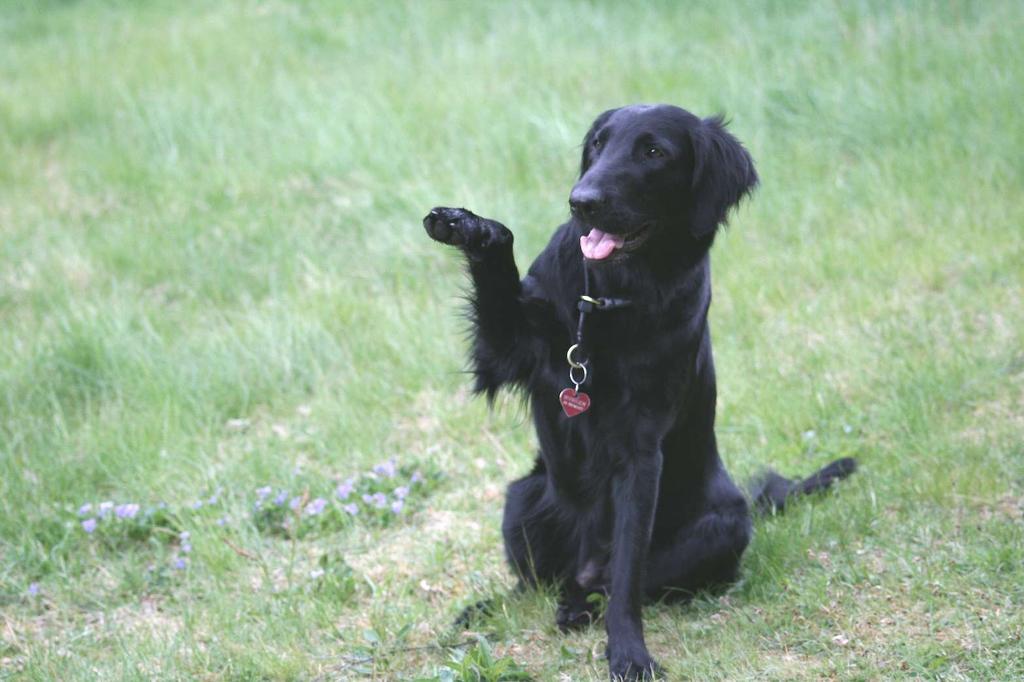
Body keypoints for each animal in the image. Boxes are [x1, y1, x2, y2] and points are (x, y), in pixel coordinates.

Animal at [423, 103, 856, 675]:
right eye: (598, 145)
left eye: (654, 152)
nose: (581, 201)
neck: (611, 298)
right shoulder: (509, 353)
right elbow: (499, 266)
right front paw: (473, 228)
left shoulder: (640, 453)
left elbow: (627, 574)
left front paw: (629, 653)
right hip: (523, 497)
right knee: (536, 585)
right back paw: (487, 609)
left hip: (725, 525)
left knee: (604, 583)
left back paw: (575, 607)